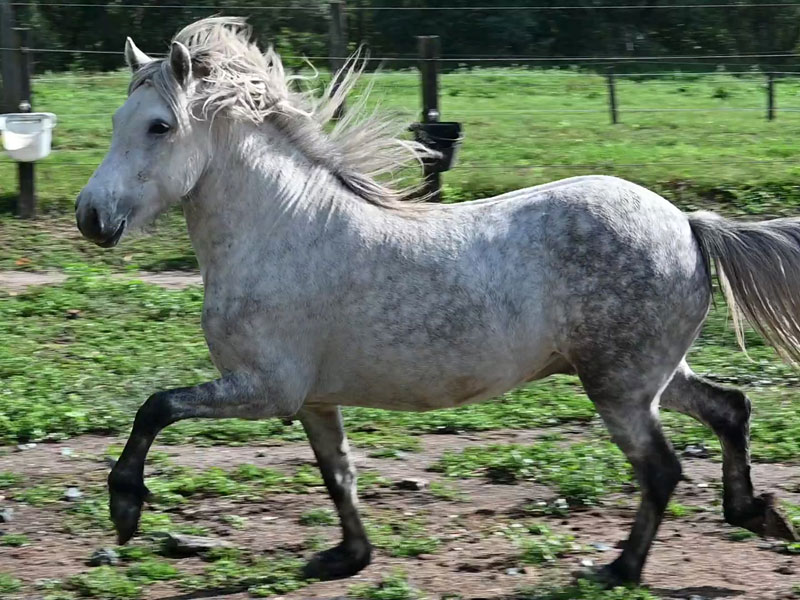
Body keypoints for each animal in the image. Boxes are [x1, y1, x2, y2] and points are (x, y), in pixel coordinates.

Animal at [75, 17, 798, 586]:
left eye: (159, 126)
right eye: (115, 121)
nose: (91, 217)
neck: (280, 227)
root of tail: (687, 223)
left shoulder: (264, 388)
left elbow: (155, 407)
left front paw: (125, 508)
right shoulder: (311, 400)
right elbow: (338, 474)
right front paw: (348, 558)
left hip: (619, 388)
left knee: (662, 470)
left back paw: (620, 569)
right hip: (649, 375)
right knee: (730, 408)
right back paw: (758, 515)